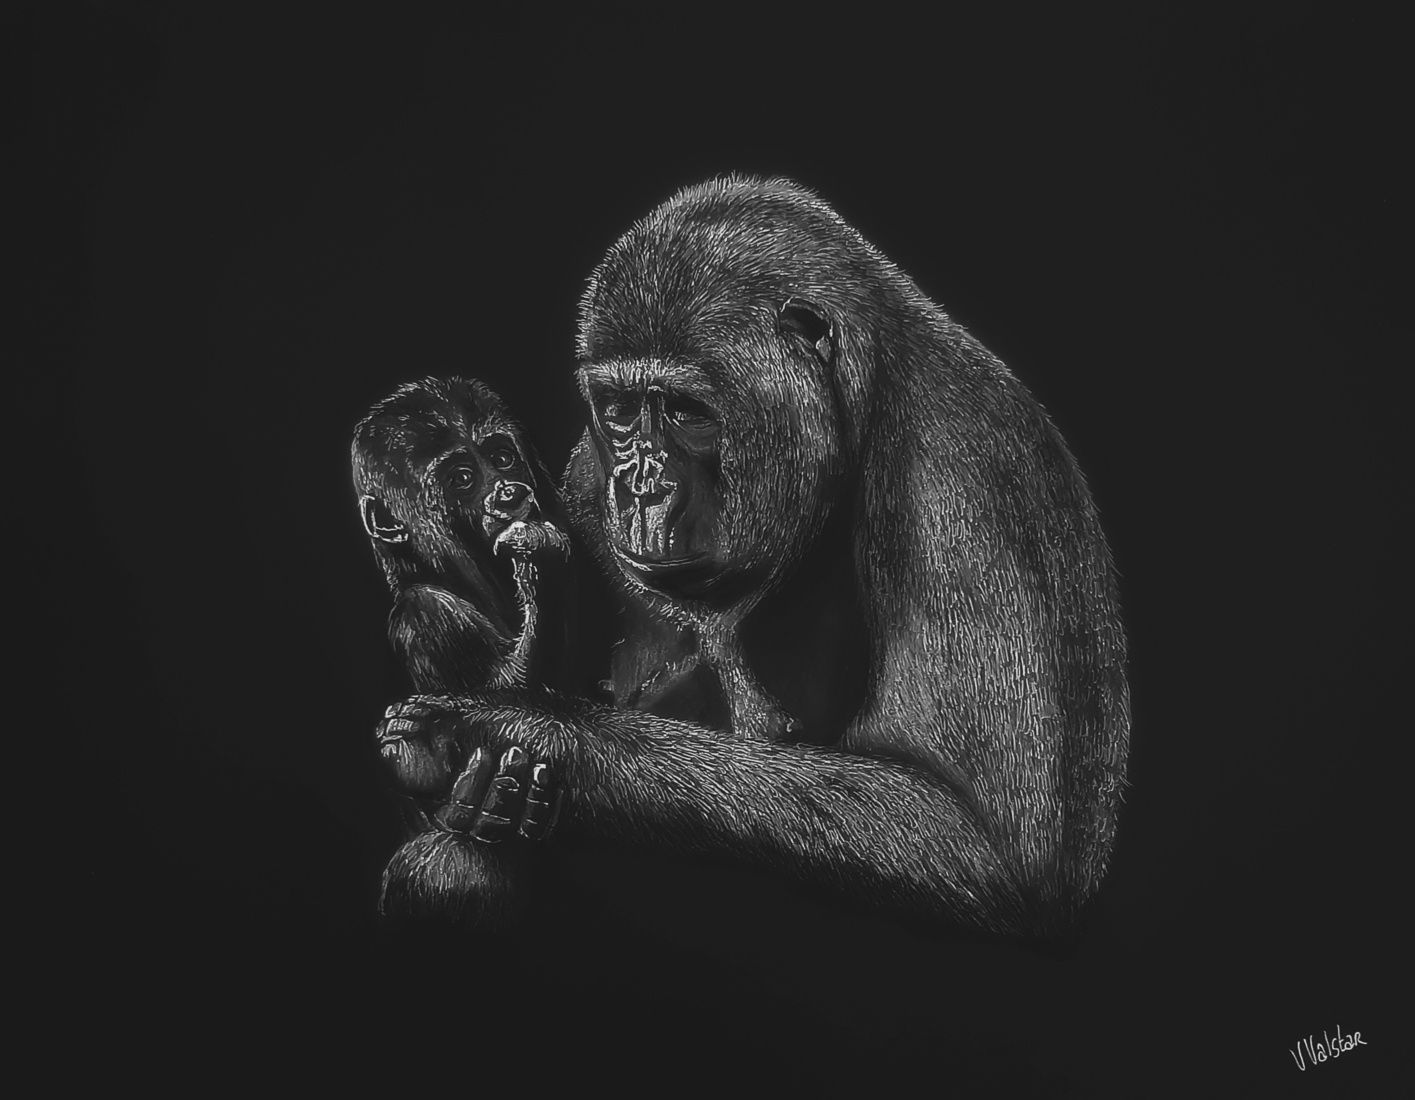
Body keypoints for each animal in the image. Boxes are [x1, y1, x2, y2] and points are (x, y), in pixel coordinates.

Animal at [375, 178, 1130, 938]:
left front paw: (530, 729)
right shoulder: (586, 473)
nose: (640, 486)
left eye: (685, 411)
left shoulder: (958, 480)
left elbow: (977, 839)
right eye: (619, 411)